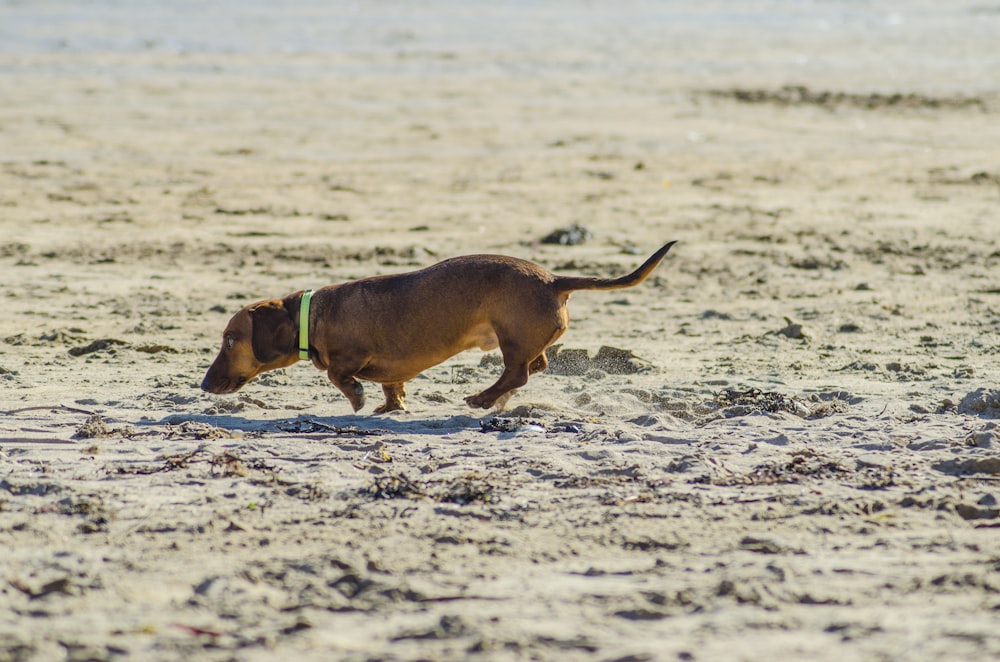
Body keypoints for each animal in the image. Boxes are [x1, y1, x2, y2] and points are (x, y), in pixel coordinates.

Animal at [200, 241, 676, 412]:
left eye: (230, 340)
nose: (203, 385)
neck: (313, 313)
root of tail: (554, 280)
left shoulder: (348, 356)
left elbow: (339, 375)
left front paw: (356, 397)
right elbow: (392, 386)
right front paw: (390, 406)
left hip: (511, 338)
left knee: (518, 373)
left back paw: (482, 398)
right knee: (533, 368)